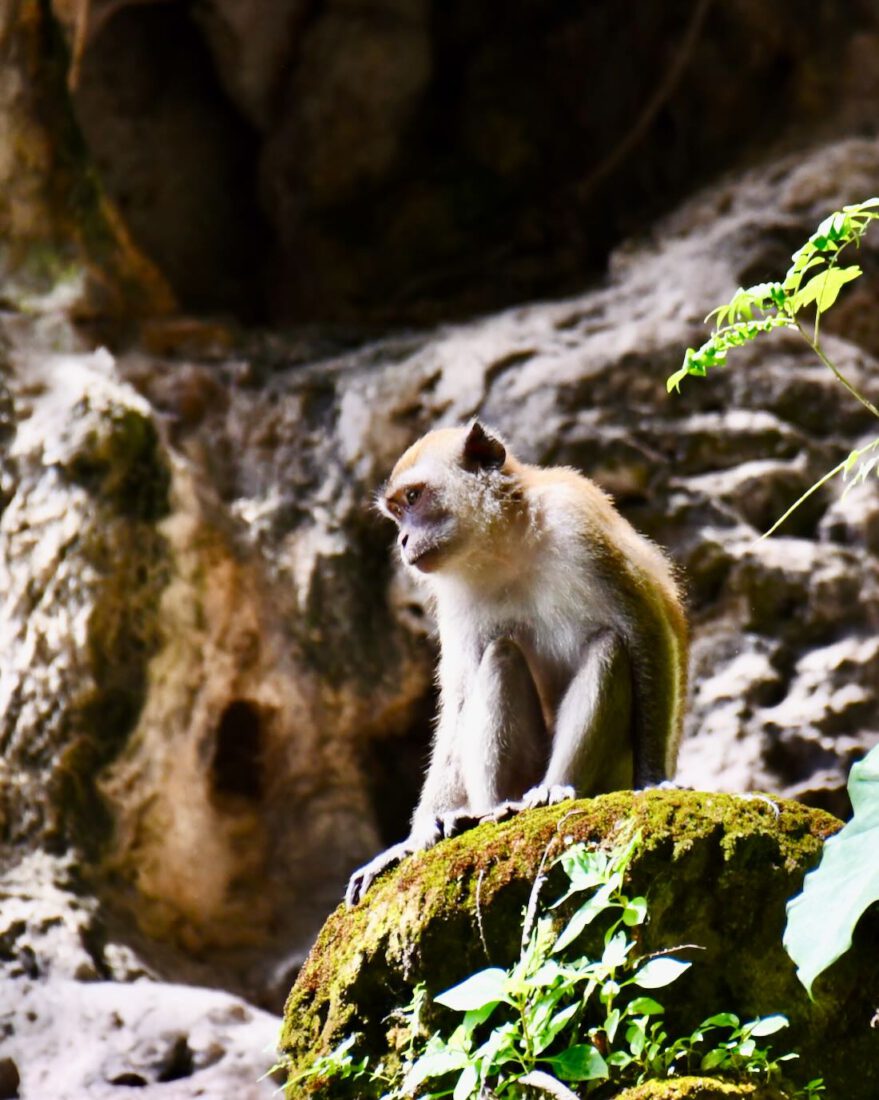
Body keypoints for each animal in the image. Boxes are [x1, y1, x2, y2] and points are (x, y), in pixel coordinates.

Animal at [345, 421, 688, 906]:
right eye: (396, 511)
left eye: (413, 498)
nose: (403, 540)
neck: (506, 545)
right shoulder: (454, 596)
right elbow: (460, 702)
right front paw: (411, 842)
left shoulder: (579, 524)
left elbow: (647, 631)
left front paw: (654, 780)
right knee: (500, 655)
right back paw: (488, 813)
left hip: (609, 772)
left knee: (608, 646)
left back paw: (554, 789)